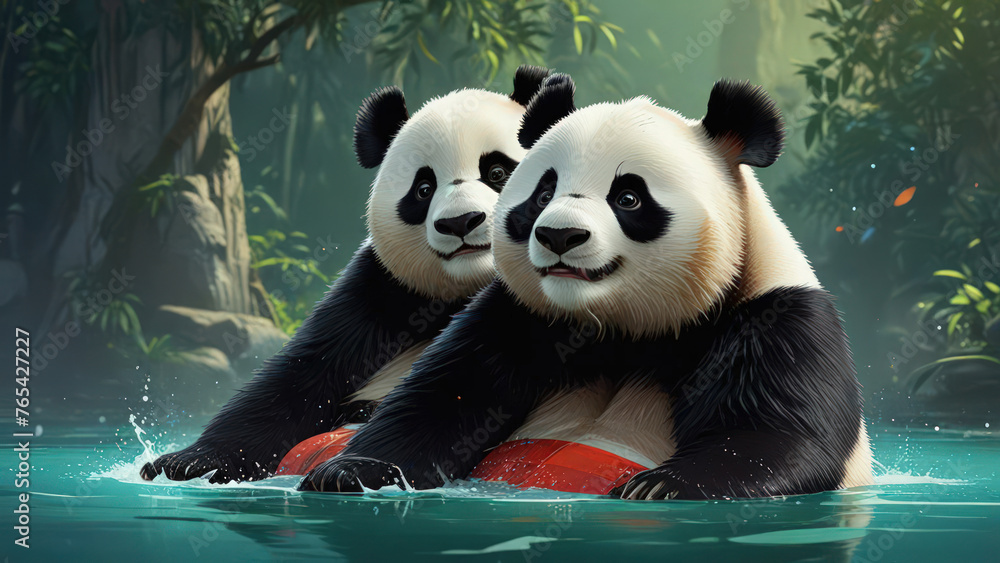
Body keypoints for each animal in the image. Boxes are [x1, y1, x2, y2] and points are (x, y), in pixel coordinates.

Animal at [139, 65, 552, 484]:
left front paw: (355, 469)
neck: (464, 286)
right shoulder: (384, 289)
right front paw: (188, 461)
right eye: (423, 189)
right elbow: (303, 373)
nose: (460, 222)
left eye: (497, 171)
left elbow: (459, 388)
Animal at [295, 74, 873, 500]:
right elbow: (439, 397)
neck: (621, 326)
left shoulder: (776, 318)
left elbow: (772, 432)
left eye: (629, 197)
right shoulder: (519, 316)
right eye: (542, 191)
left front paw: (658, 485)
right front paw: (350, 470)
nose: (559, 236)